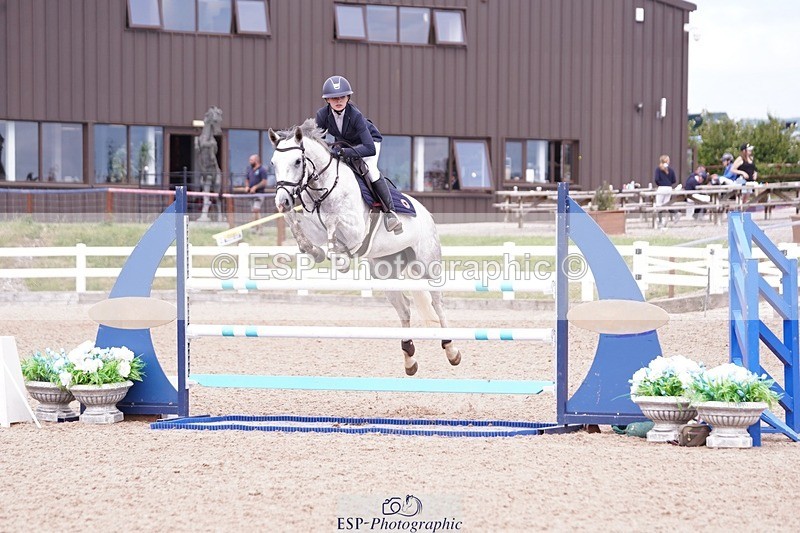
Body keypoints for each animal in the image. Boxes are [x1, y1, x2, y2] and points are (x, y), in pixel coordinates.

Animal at [267, 118, 462, 375]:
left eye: (298, 161)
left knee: (438, 304)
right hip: (385, 273)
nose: (282, 201)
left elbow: (333, 222)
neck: (324, 187)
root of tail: (426, 213)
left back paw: (452, 350)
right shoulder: (314, 227)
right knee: (404, 309)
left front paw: (339, 258)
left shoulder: (356, 230)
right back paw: (409, 358)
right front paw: (314, 250)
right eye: (273, 163)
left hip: (428, 265)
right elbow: (296, 223)